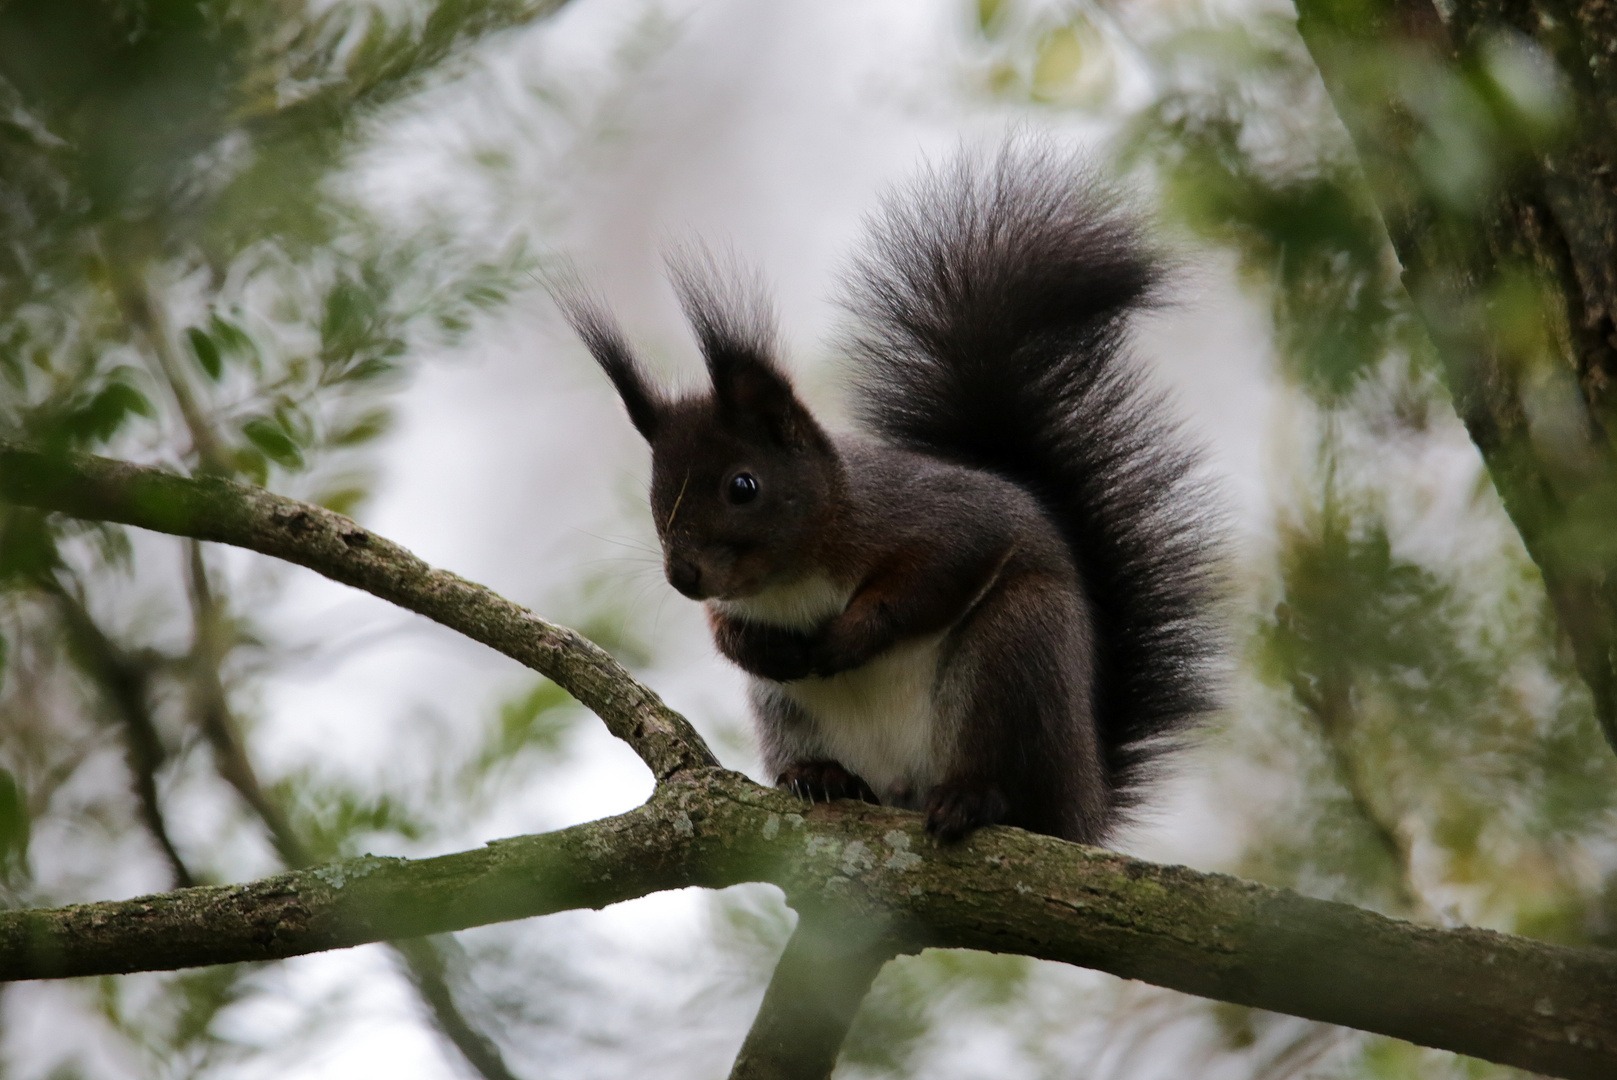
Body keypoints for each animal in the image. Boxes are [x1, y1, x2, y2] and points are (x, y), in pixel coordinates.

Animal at [562, 143, 1215, 847]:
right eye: (654, 491)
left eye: (743, 485)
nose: (683, 576)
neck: (794, 577)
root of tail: (1084, 809)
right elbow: (724, 633)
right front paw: (765, 647)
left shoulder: (935, 516)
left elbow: (934, 574)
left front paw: (846, 641)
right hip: (787, 712)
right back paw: (822, 777)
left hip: (1019, 655)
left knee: (1007, 777)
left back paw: (975, 799)